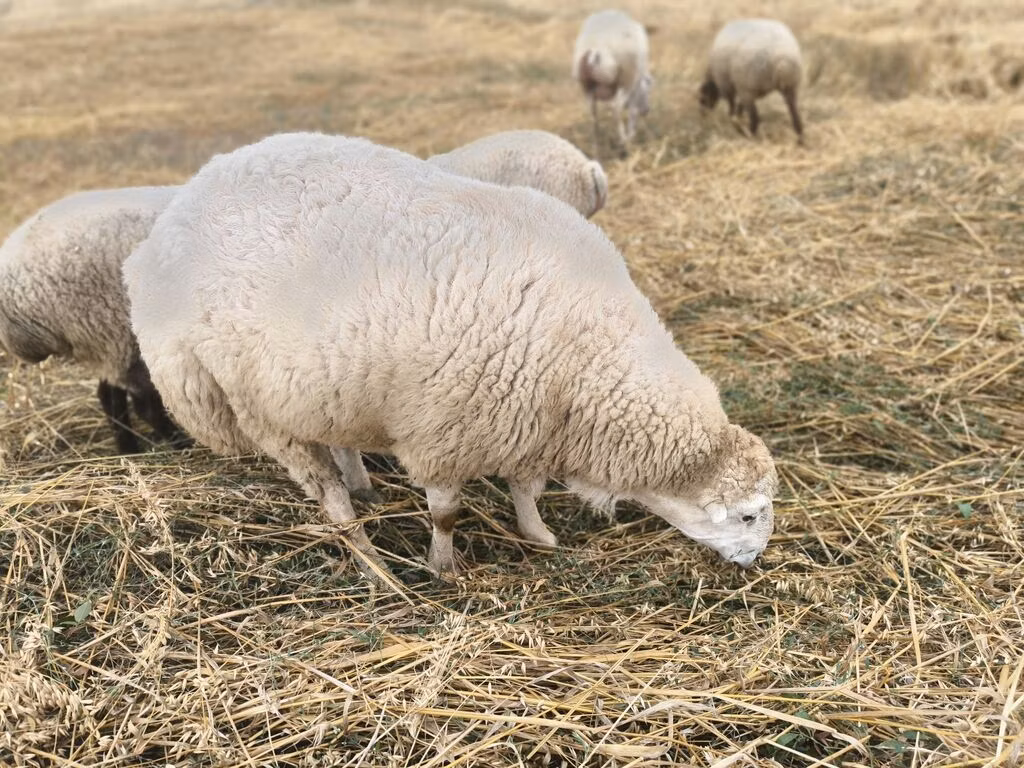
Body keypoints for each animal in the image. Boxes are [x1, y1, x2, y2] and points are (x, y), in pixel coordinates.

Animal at [0, 186, 190, 453]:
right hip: (114, 330)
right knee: (140, 402)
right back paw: (178, 442)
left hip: (105, 342)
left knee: (111, 395)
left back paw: (128, 447)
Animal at [572, 9, 653, 154]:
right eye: (649, 87)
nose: (646, 110)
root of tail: (596, 49)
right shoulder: (634, 87)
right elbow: (632, 112)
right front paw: (631, 137)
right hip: (626, 79)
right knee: (616, 109)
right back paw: (624, 143)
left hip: (586, 86)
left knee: (592, 116)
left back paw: (596, 149)